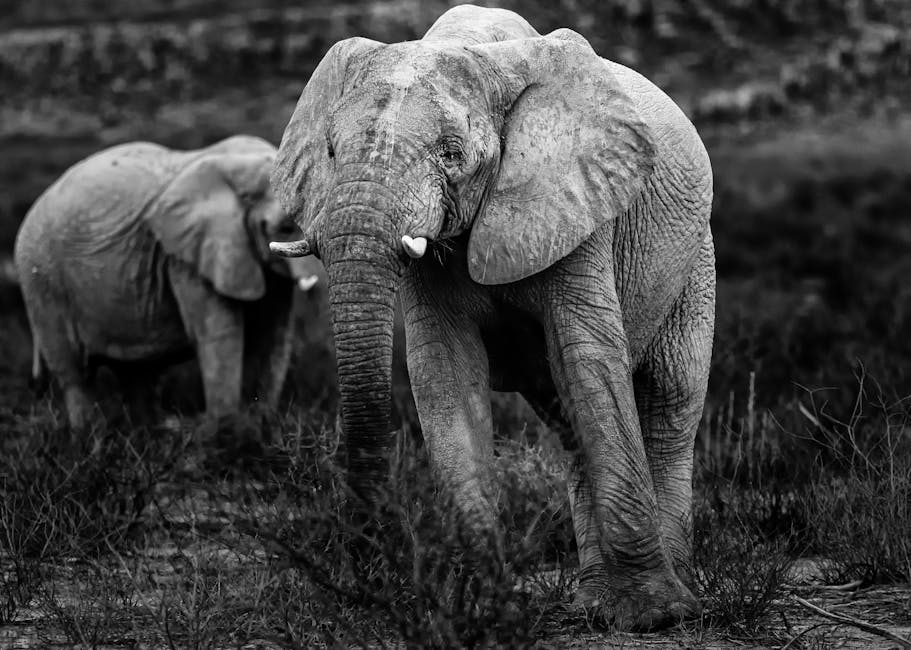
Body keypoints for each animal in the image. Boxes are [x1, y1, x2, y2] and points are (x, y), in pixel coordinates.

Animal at [14, 135, 320, 429]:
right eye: (285, 228)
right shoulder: (186, 256)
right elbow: (220, 332)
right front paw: (226, 433)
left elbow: (273, 333)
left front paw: (260, 424)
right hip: (42, 280)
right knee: (75, 372)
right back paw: (89, 437)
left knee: (136, 372)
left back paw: (149, 433)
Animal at [270, 4, 715, 631]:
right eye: (331, 152)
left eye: (452, 153)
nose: (365, 579)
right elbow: (444, 373)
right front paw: (483, 609)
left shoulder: (576, 200)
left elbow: (588, 359)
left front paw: (653, 616)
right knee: (568, 419)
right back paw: (593, 602)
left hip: (695, 260)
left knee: (671, 400)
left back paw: (672, 598)